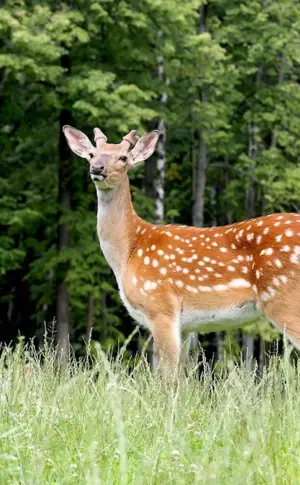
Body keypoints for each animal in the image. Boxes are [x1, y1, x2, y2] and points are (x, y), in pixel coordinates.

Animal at [63, 124, 300, 374]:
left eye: (123, 157)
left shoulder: (161, 306)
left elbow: (167, 376)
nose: (97, 168)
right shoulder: (185, 326)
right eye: (92, 154)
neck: (128, 252)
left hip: (284, 298)